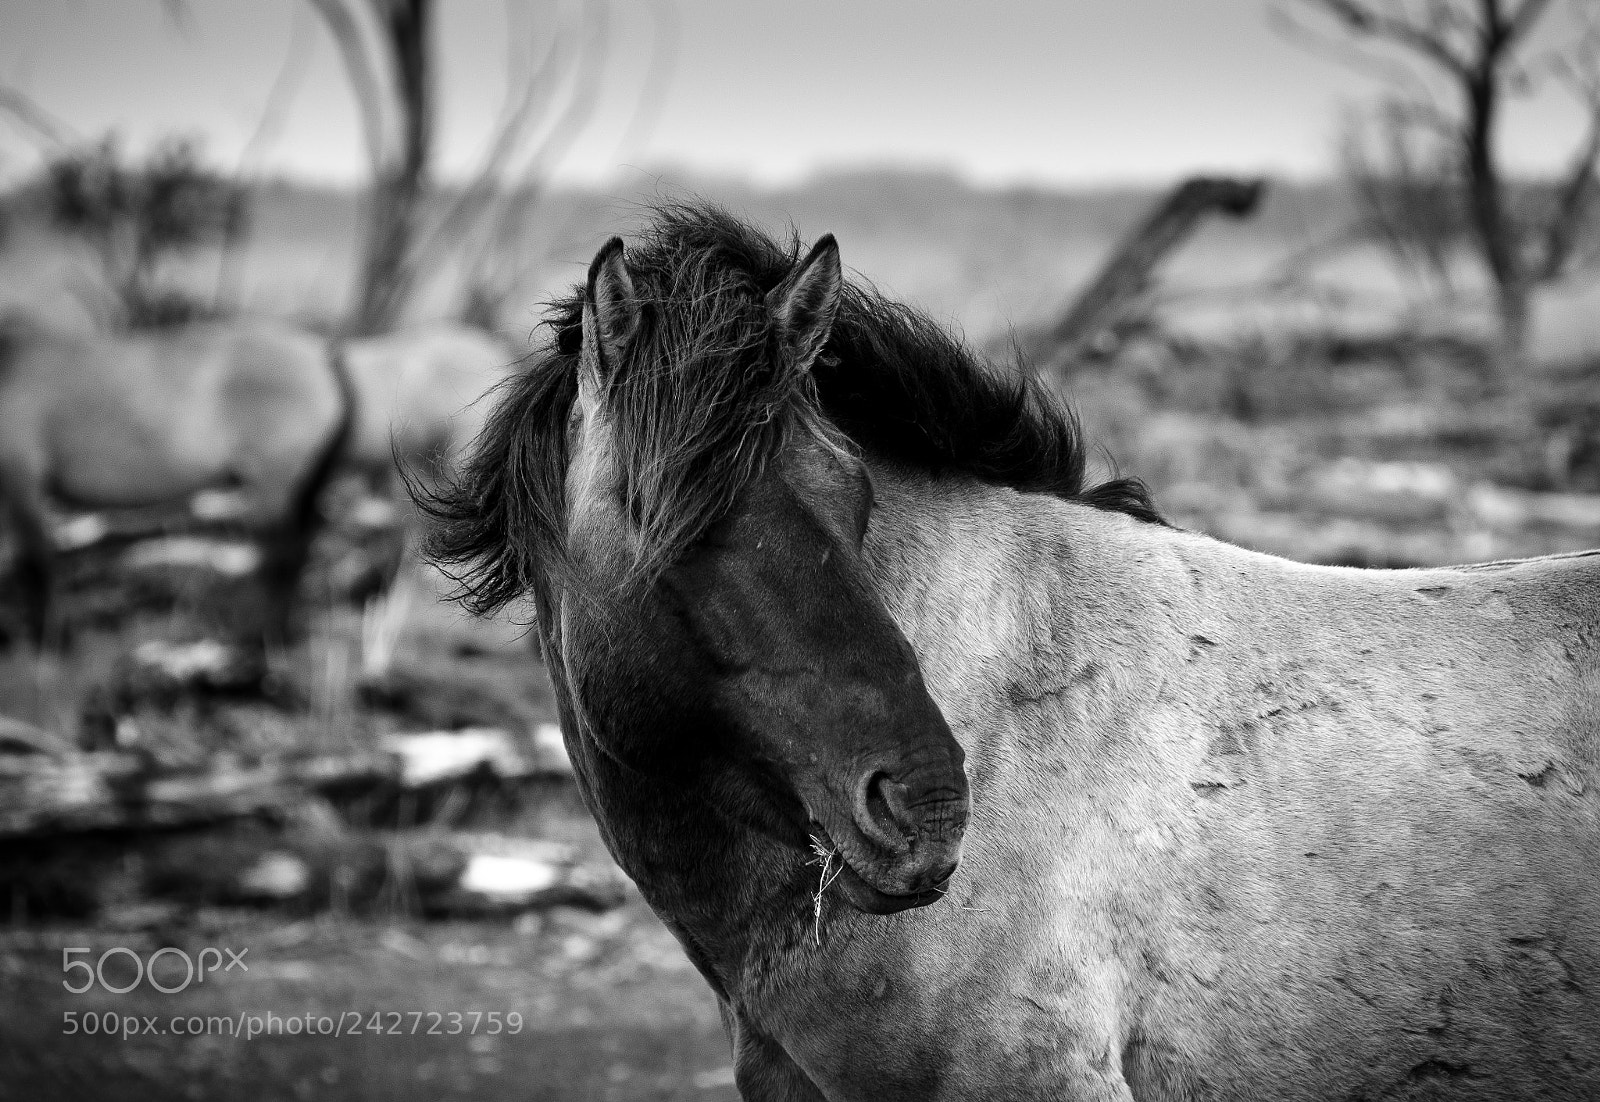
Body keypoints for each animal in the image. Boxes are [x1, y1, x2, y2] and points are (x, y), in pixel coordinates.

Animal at [0, 314, 354, 644]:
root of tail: (320, 354)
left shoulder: (21, 482)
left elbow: (36, 564)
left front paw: (52, 639)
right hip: (303, 487)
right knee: (295, 553)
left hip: (274, 485)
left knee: (281, 557)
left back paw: (260, 635)